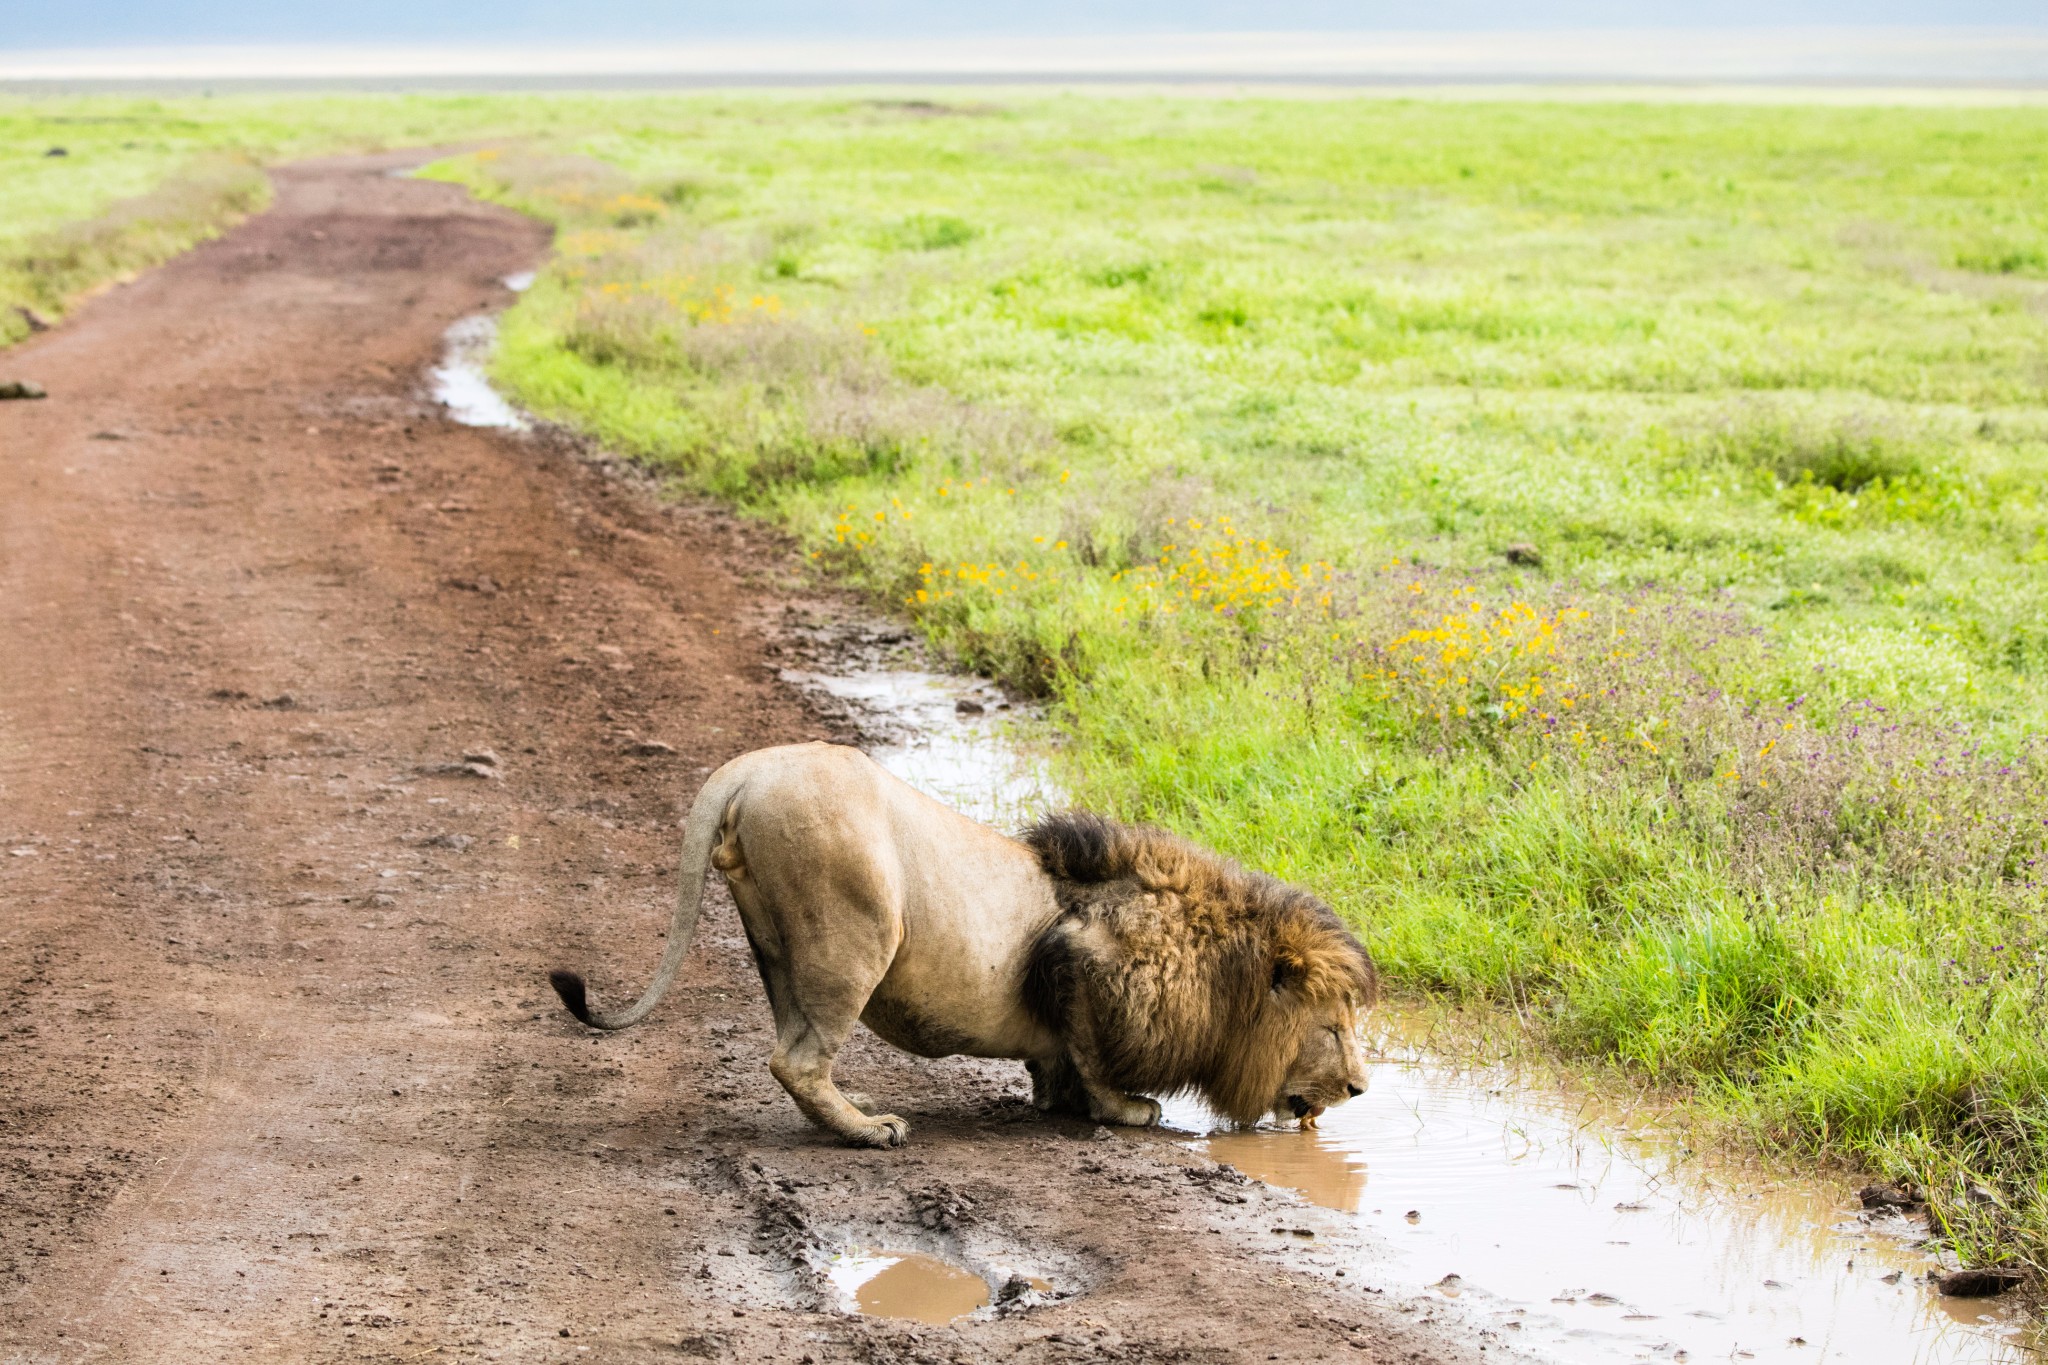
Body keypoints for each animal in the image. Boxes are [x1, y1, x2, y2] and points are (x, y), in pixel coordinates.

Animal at [544, 740, 1376, 1146]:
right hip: (859, 927)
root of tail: (747, 769)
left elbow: (1061, 1060)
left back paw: (851, 1107)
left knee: (793, 1042)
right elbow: (1096, 1060)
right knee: (795, 1058)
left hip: (775, 942)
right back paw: (869, 1132)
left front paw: (1055, 1097)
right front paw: (1123, 1110)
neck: (1219, 965)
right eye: (1334, 1030)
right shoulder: (1079, 958)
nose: (1361, 1089)